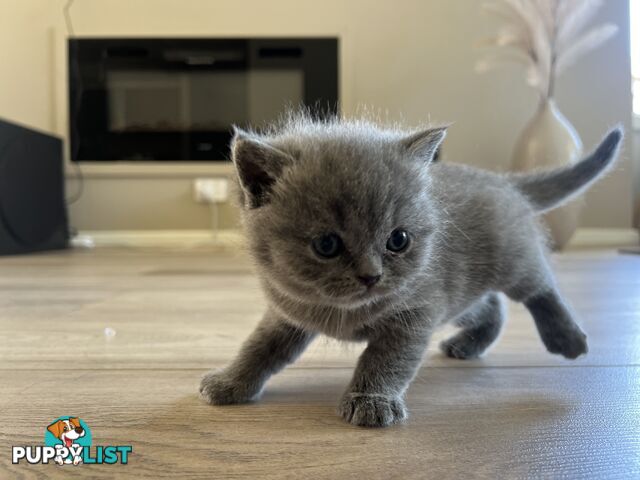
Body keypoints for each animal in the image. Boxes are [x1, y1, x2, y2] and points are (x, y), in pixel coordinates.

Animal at [199, 116, 620, 428]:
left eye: (398, 240)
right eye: (327, 245)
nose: (371, 276)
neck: (345, 311)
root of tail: (499, 179)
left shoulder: (416, 312)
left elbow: (386, 358)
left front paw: (371, 400)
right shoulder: (288, 311)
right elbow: (260, 347)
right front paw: (230, 381)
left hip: (510, 259)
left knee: (538, 286)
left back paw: (566, 337)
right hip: (459, 291)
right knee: (490, 306)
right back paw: (470, 344)